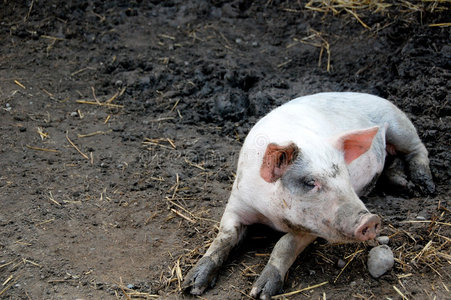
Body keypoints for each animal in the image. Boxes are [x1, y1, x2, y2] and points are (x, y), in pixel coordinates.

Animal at [182, 92, 436, 298]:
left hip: (400, 126)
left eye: (345, 175)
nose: (371, 220)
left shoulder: (315, 226)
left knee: (418, 149)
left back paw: (425, 187)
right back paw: (405, 185)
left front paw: (260, 292)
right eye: (310, 182)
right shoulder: (238, 202)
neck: (270, 216)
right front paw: (191, 286)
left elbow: (284, 244)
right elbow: (224, 237)